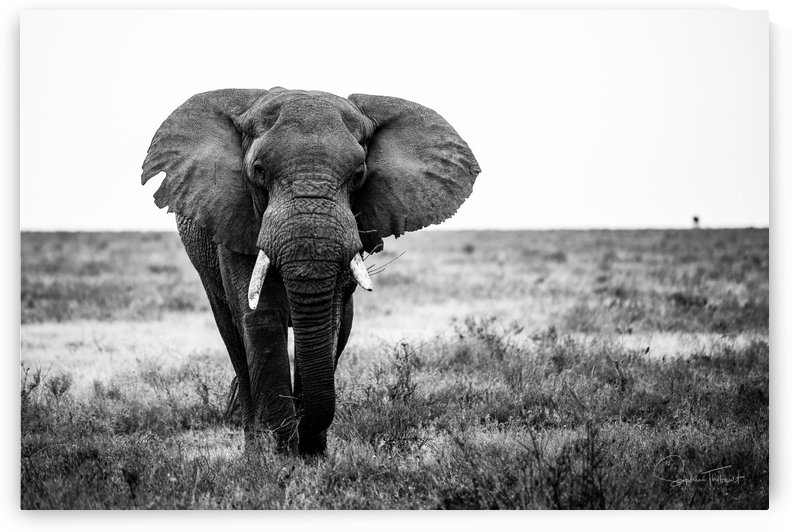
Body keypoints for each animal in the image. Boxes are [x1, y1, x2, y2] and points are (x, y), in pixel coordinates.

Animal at [141, 88, 481, 455]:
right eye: (258, 170)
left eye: (359, 175)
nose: (302, 440)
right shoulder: (236, 220)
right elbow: (261, 317)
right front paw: (282, 456)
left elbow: (328, 321)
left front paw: (310, 455)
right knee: (233, 339)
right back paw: (254, 451)